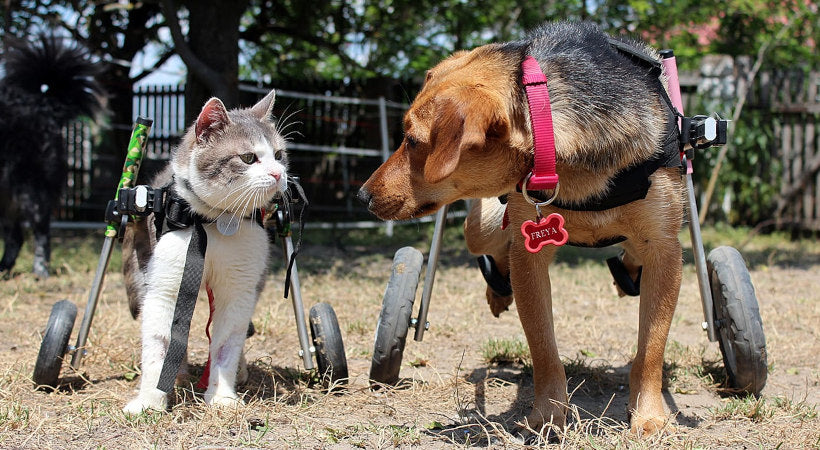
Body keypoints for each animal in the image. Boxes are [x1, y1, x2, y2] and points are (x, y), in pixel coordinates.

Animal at [121, 89, 288, 414]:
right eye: (248, 158)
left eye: (278, 155)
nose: (278, 174)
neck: (215, 222)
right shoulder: (165, 285)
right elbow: (159, 342)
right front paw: (150, 401)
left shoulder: (239, 290)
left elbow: (226, 344)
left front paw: (222, 396)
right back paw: (180, 374)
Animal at [358, 22, 684, 436]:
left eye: (413, 141)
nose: (362, 196)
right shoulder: (530, 251)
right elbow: (543, 348)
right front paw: (547, 416)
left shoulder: (665, 249)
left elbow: (651, 349)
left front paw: (649, 414)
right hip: (482, 225)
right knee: (496, 246)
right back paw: (499, 290)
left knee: (631, 256)